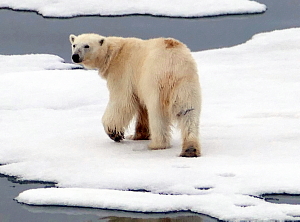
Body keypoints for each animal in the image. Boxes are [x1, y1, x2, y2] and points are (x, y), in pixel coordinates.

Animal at [69, 33, 202, 158]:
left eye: (87, 45)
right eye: (74, 45)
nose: (75, 56)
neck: (113, 54)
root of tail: (173, 61)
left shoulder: (123, 72)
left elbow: (122, 101)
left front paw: (114, 133)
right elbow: (142, 108)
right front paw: (138, 135)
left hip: (154, 80)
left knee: (157, 113)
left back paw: (157, 144)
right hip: (186, 84)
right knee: (188, 112)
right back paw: (190, 149)